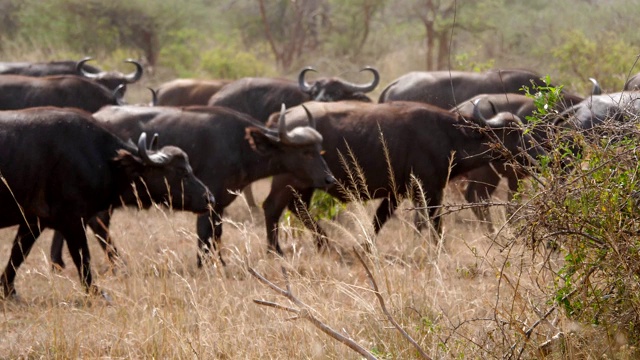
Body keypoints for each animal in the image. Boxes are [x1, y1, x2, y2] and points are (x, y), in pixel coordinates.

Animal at [0, 107, 215, 300]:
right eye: (181, 172)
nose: (209, 198)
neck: (102, 158)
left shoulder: (33, 221)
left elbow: (18, 254)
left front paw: (8, 290)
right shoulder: (73, 222)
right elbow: (83, 258)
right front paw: (97, 292)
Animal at [48, 102, 336, 266]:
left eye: (320, 149)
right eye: (306, 152)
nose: (328, 178)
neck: (239, 145)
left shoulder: (218, 203)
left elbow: (216, 234)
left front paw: (219, 262)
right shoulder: (207, 200)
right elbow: (205, 235)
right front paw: (204, 265)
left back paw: (58, 262)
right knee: (98, 223)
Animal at [260, 100, 544, 255]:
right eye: (513, 132)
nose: (538, 154)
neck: (448, 136)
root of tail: (277, 123)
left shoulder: (398, 192)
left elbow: (379, 220)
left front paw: (365, 247)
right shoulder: (429, 189)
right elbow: (434, 224)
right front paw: (438, 250)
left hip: (305, 184)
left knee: (297, 209)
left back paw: (323, 244)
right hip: (289, 180)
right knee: (272, 207)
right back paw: (277, 250)